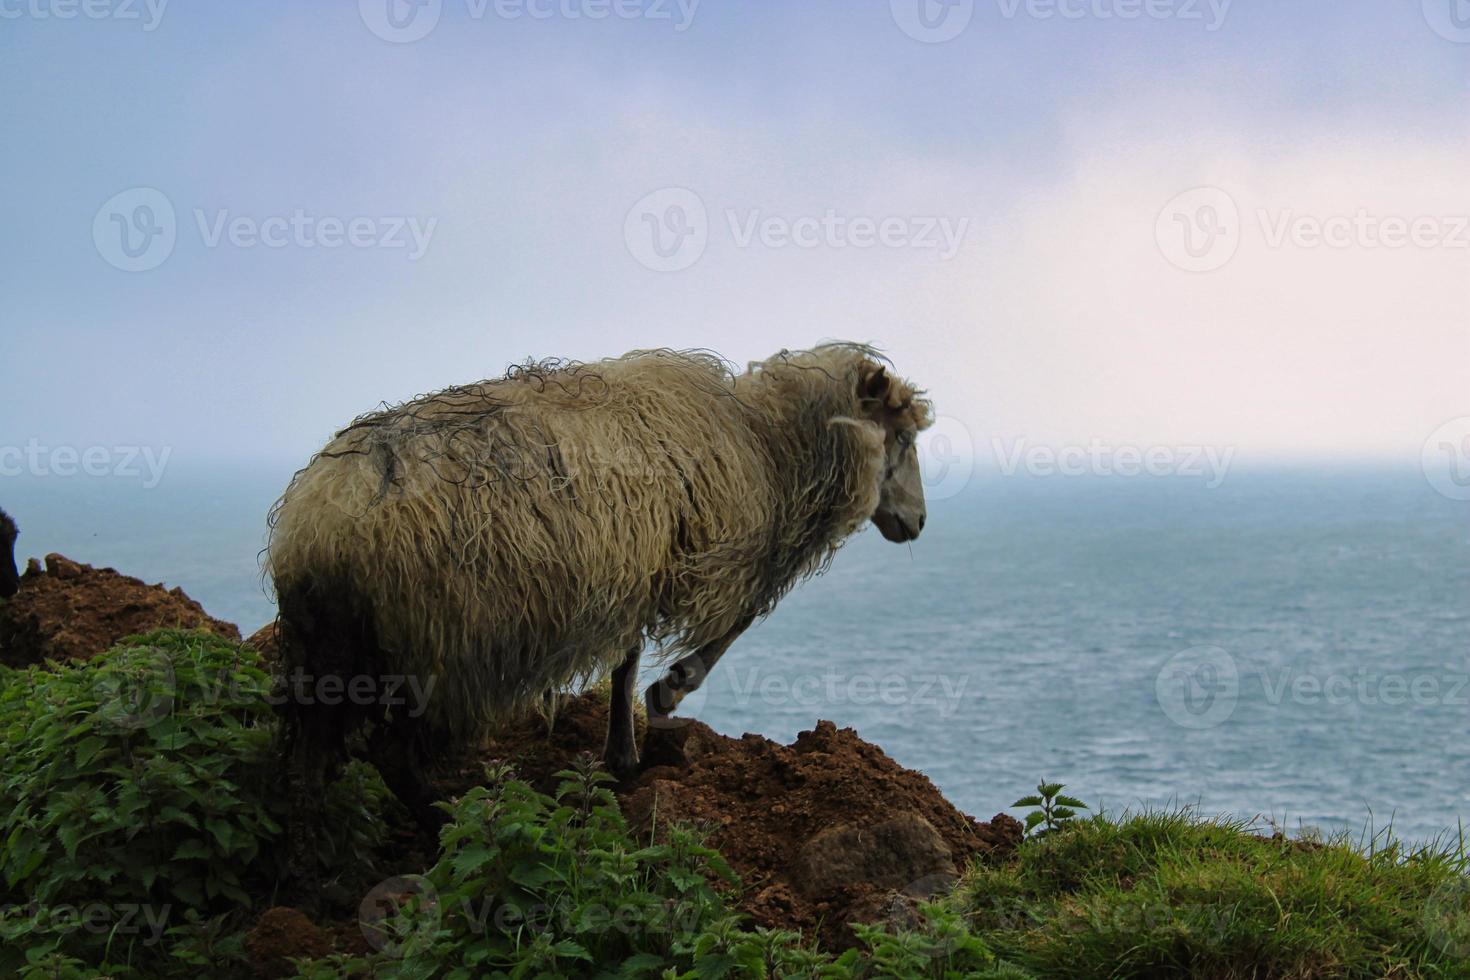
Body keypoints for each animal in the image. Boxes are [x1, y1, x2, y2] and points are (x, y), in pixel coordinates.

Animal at [264, 343, 929, 881]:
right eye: (899, 437)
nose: (919, 523)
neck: (769, 443)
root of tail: (319, 525)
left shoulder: (636, 567)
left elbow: (625, 659)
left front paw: (621, 756)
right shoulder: (711, 551)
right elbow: (725, 627)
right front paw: (669, 690)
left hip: (333, 648)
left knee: (309, 757)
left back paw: (306, 867)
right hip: (447, 644)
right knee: (391, 753)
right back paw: (453, 826)